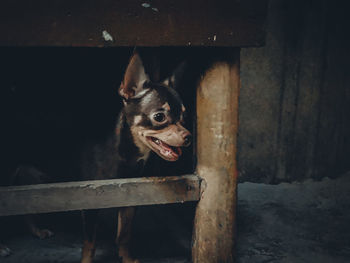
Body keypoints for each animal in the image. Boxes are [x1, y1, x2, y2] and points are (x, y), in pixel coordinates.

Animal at [78, 51, 191, 263]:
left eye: (183, 116)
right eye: (159, 117)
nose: (188, 136)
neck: (127, 156)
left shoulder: (130, 198)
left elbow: (124, 234)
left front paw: (127, 259)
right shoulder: (89, 202)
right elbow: (90, 242)